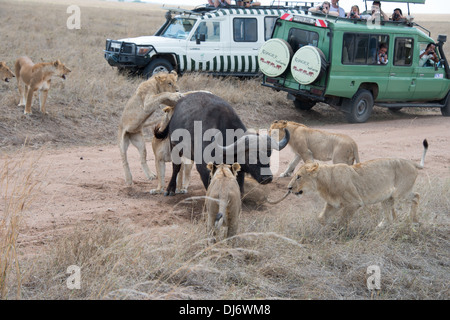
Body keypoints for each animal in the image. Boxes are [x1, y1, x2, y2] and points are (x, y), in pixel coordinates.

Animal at [153, 92, 290, 195]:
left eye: (269, 155)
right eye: (251, 156)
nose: (267, 178)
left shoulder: (238, 169)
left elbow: (239, 186)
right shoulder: (204, 168)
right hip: (174, 146)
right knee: (176, 166)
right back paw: (170, 190)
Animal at [288, 140, 428, 228]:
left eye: (298, 176)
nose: (289, 187)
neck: (322, 184)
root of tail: (410, 162)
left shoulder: (353, 203)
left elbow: (343, 221)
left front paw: (338, 231)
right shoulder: (333, 204)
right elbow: (321, 218)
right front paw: (328, 227)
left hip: (400, 194)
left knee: (416, 196)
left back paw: (414, 221)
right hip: (387, 197)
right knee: (391, 215)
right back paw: (382, 226)